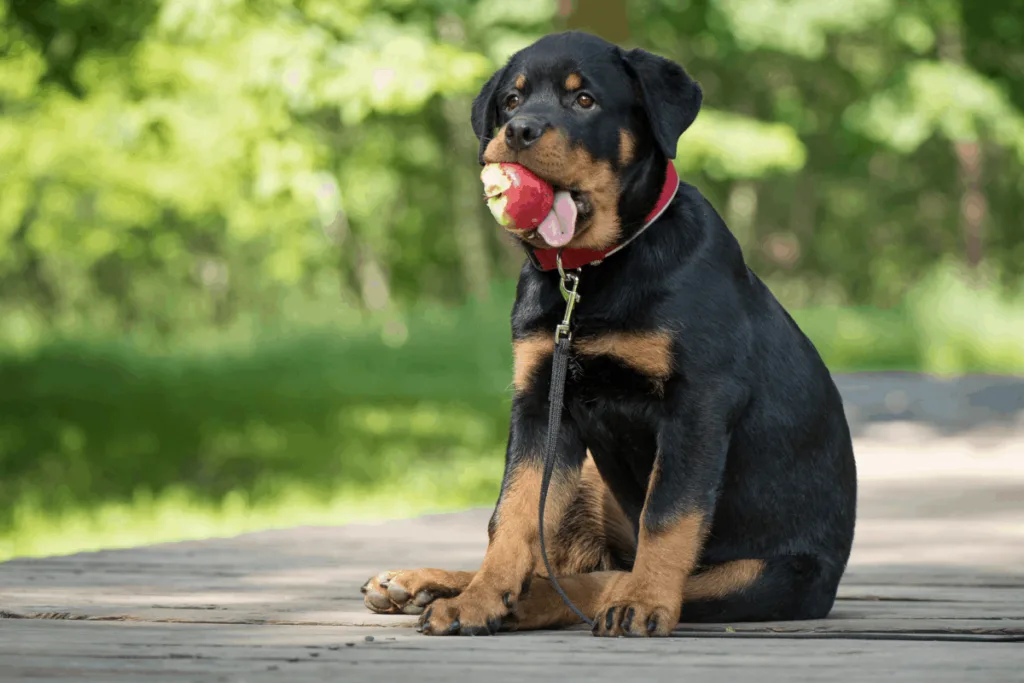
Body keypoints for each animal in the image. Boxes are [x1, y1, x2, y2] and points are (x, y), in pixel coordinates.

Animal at [360, 31, 856, 638]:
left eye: (585, 101)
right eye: (511, 101)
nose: (518, 131)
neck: (589, 273)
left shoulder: (698, 401)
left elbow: (668, 515)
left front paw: (643, 601)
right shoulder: (540, 403)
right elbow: (513, 513)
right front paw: (477, 600)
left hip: (765, 576)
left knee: (605, 577)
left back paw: (547, 601)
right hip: (591, 481)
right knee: (569, 560)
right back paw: (429, 584)